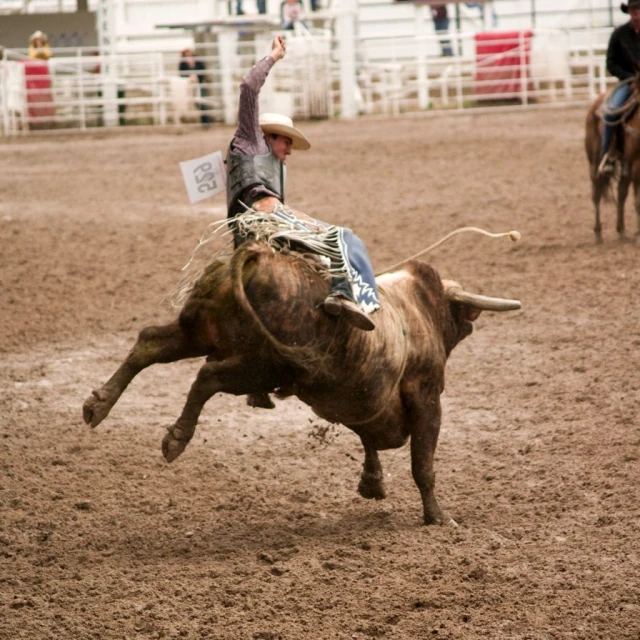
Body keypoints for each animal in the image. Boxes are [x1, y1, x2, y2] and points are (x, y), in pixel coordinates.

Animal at [82, 235, 520, 524]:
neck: (416, 311)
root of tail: (259, 256)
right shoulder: (427, 397)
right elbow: (422, 462)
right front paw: (438, 517)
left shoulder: (361, 403)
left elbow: (369, 438)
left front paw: (372, 484)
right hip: (262, 364)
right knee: (207, 376)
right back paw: (175, 437)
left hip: (200, 330)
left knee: (149, 344)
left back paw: (98, 404)